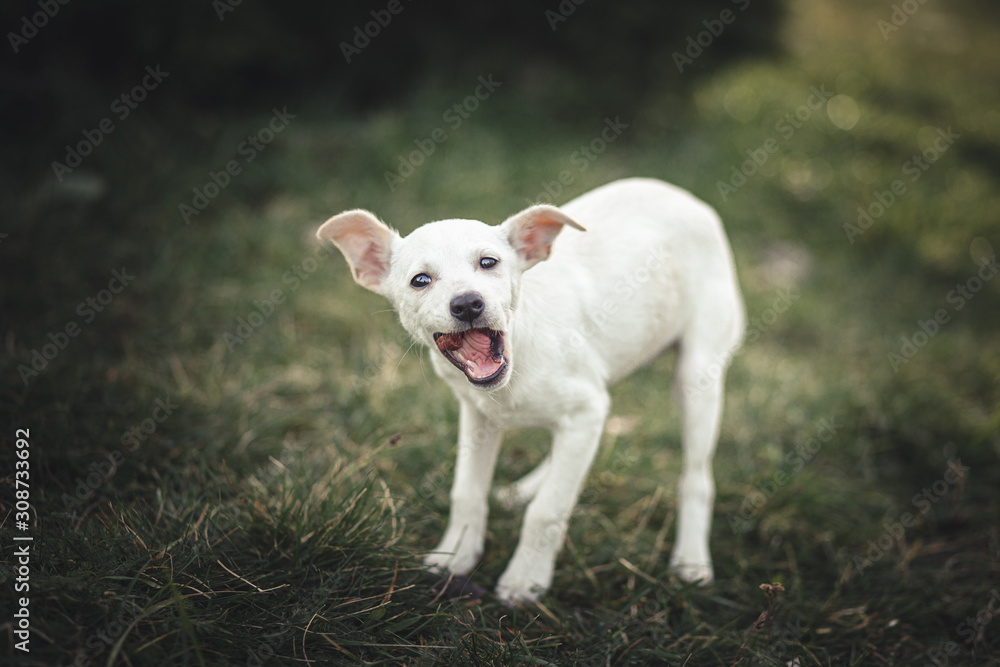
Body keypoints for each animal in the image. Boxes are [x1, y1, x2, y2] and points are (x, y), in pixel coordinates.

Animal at [316, 179, 748, 604]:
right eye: (420, 280)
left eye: (488, 262)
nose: (468, 304)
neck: (517, 359)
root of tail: (684, 195)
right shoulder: (480, 416)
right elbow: (467, 491)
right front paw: (455, 555)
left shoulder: (585, 410)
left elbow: (548, 510)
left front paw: (526, 579)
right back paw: (526, 487)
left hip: (697, 373)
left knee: (696, 478)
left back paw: (691, 560)